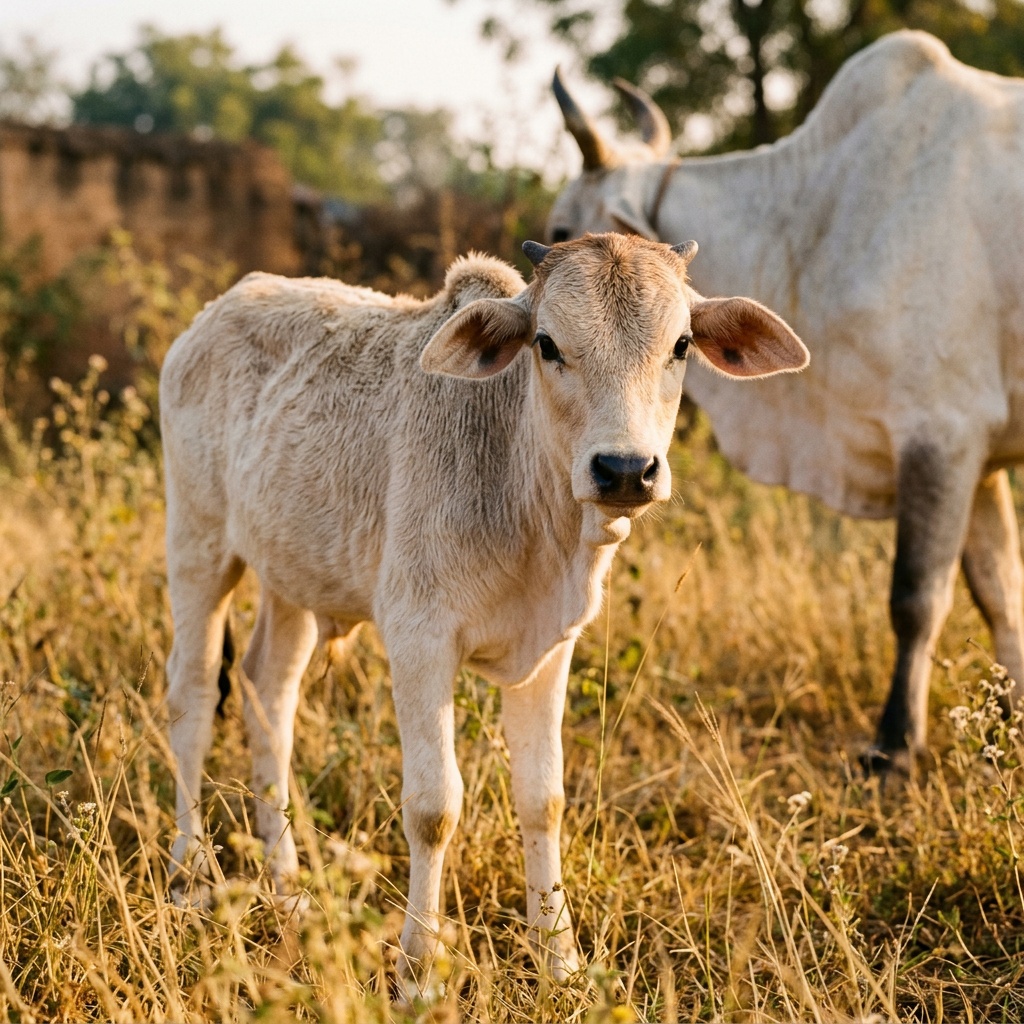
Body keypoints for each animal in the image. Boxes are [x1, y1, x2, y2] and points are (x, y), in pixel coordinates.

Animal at [159, 232, 807, 981]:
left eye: (681, 346)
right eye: (547, 344)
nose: (623, 470)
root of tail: (218, 311)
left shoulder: (552, 650)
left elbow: (543, 800)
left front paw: (561, 962)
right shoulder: (418, 638)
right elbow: (433, 808)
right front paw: (417, 970)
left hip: (290, 574)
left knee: (269, 690)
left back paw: (287, 885)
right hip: (198, 544)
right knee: (193, 696)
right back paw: (188, 876)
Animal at [549, 31, 1024, 770]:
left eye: (561, 226)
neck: (812, 219)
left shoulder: (943, 433)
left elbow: (917, 597)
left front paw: (894, 746)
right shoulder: (981, 456)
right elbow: (1000, 594)